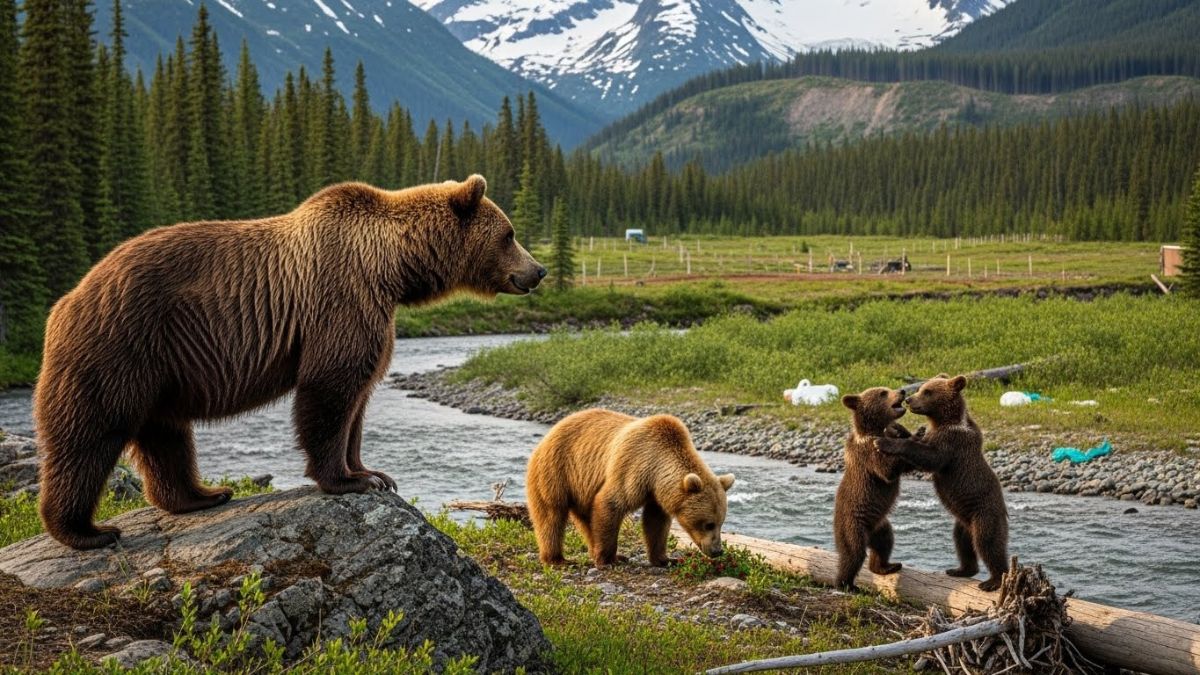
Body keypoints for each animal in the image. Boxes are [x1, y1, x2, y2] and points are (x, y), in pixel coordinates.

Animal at [35, 175, 545, 550]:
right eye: (510, 233)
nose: (538, 271)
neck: (393, 268)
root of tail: (66, 300)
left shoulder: (375, 315)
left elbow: (359, 397)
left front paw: (373, 472)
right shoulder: (342, 300)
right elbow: (331, 390)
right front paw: (347, 480)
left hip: (160, 370)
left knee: (166, 434)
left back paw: (202, 495)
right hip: (119, 346)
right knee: (90, 433)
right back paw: (86, 530)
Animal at [525, 408, 735, 568]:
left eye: (721, 522)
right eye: (709, 524)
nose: (717, 550)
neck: (657, 467)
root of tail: (550, 432)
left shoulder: (656, 493)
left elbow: (655, 522)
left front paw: (665, 559)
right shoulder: (633, 468)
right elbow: (611, 503)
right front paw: (608, 559)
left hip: (581, 486)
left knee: (586, 519)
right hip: (556, 471)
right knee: (551, 515)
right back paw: (557, 558)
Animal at [833, 387, 915, 589]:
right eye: (883, 393)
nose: (902, 390)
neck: (874, 430)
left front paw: (901, 430)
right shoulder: (868, 453)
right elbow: (887, 470)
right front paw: (916, 433)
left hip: (880, 526)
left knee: (885, 543)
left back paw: (887, 566)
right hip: (853, 525)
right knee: (853, 553)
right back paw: (846, 584)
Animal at [874, 375, 1010, 592]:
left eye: (927, 392)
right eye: (921, 388)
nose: (909, 399)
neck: (944, 421)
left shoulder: (952, 442)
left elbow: (930, 457)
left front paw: (884, 442)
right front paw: (898, 428)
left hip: (985, 513)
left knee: (988, 543)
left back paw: (993, 581)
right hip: (964, 522)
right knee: (963, 543)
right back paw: (960, 570)